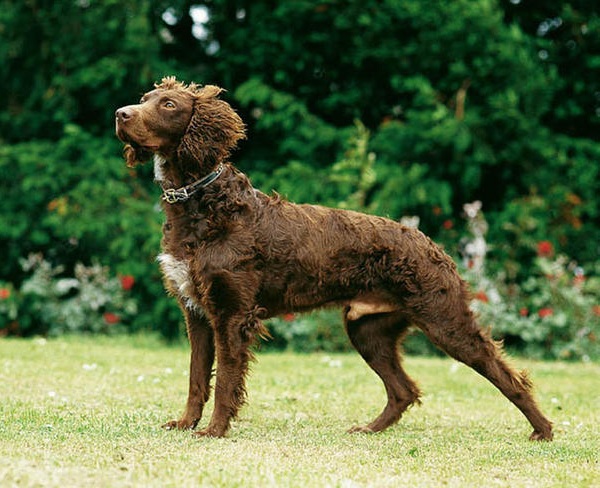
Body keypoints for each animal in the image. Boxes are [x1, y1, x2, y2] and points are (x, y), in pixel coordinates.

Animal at [113, 78, 552, 440]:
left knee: (507, 376)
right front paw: (186, 424)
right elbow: (196, 378)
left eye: (169, 104)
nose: (120, 113)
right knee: (403, 390)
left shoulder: (233, 314)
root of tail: (432, 245)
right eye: (144, 99)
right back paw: (370, 429)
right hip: (367, 330)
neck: (202, 203)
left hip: (445, 321)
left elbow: (224, 383)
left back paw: (542, 430)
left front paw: (214, 431)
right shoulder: (197, 312)